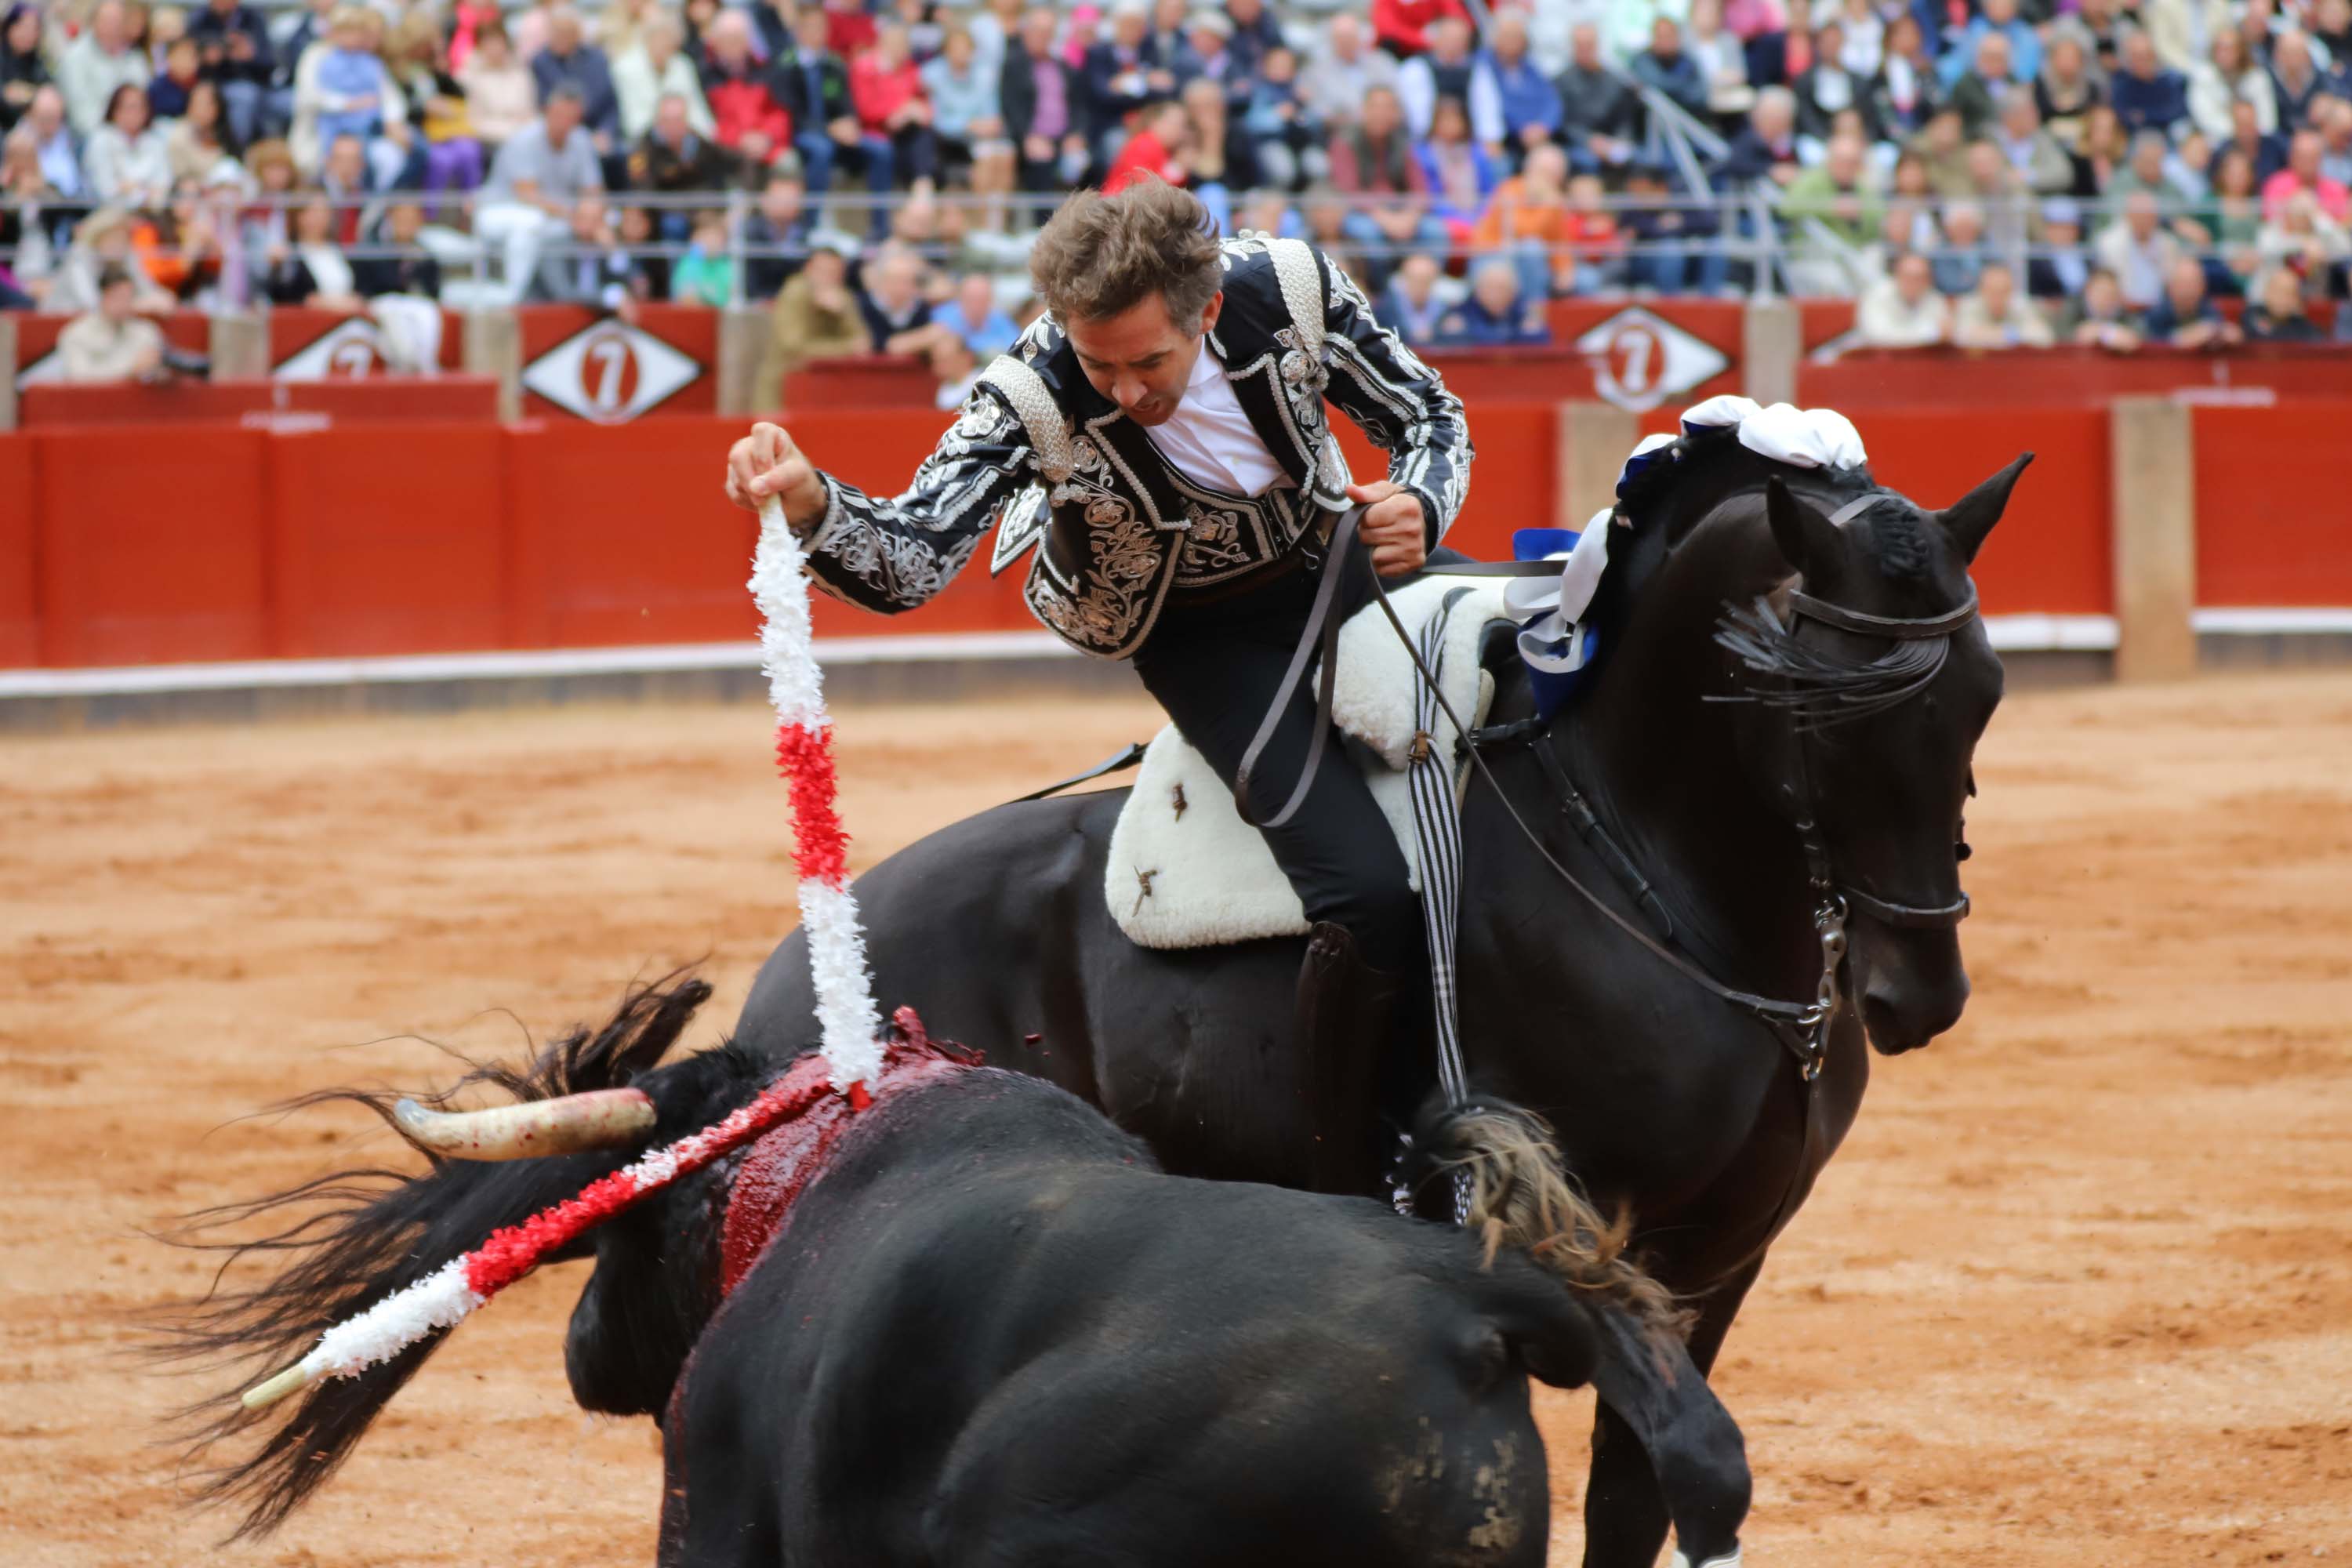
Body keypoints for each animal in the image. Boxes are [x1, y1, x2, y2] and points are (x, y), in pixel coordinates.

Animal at [729, 423, 2023, 1561]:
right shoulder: (1595, 1248)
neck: (1650, 865)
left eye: (1984, 690)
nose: (1919, 990)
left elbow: (1637, 1504)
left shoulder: (1720, 1260)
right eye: (1815, 704)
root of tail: (799, 973)